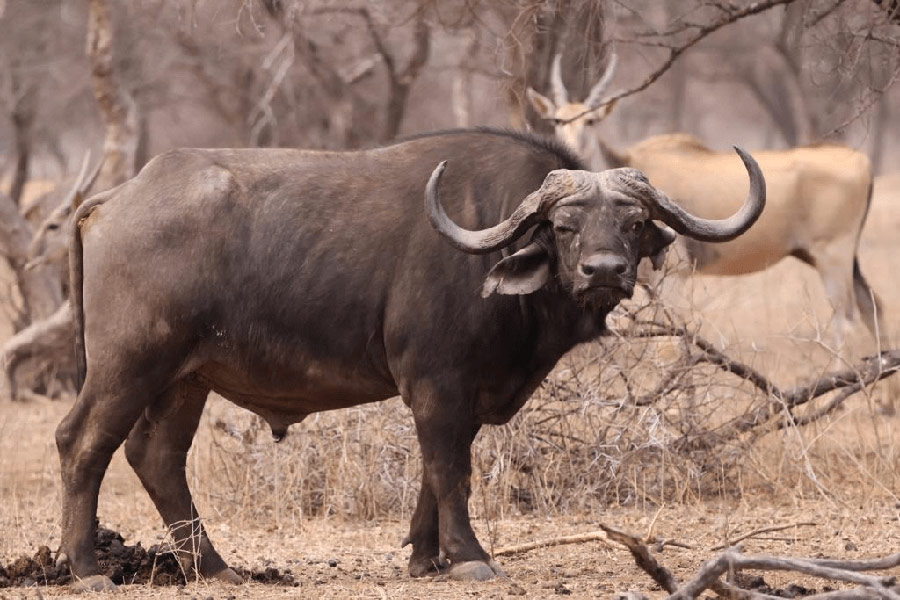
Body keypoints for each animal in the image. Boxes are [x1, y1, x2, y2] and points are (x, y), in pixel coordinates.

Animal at [56, 128, 765, 591]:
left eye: (633, 223)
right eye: (564, 226)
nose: (605, 271)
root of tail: (113, 200)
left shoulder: (462, 392)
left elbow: (435, 466)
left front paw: (427, 557)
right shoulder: (436, 381)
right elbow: (451, 469)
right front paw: (471, 557)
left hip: (186, 377)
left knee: (157, 456)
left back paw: (217, 569)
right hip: (129, 363)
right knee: (82, 442)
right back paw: (88, 570)